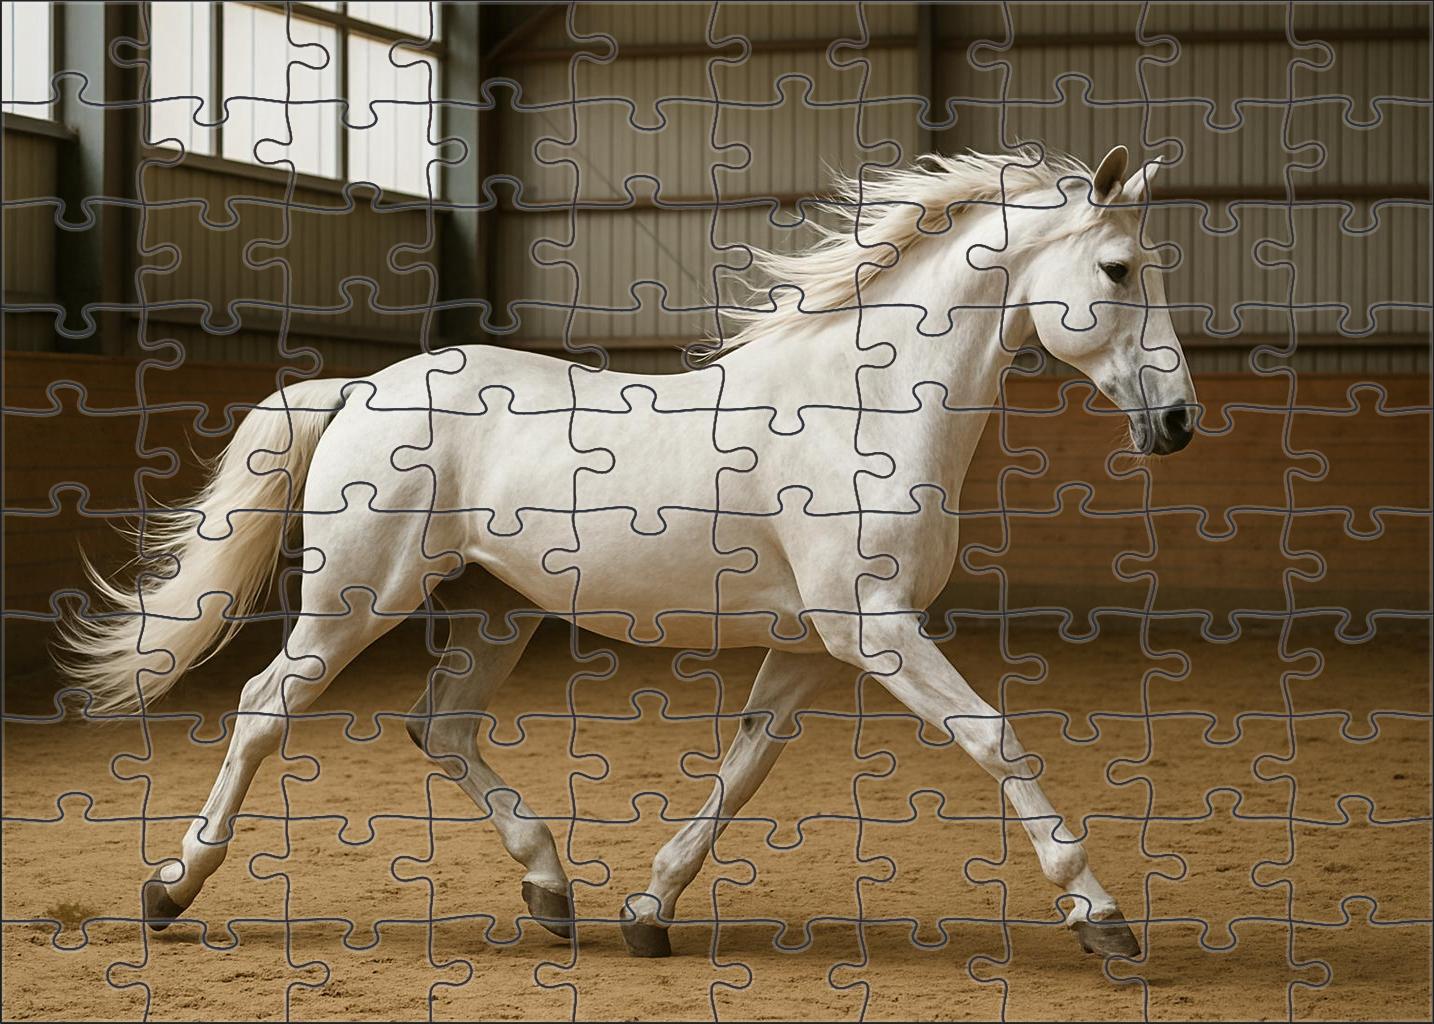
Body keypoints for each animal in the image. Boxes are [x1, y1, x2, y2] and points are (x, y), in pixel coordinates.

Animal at [60, 145, 1196, 960]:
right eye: (1117, 269)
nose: (1179, 422)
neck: (863, 408)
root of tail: (358, 387)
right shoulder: (874, 628)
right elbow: (994, 739)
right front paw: (1102, 918)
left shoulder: (814, 647)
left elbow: (744, 769)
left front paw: (651, 909)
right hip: (359, 596)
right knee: (264, 709)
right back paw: (170, 889)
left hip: (498, 608)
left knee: (442, 727)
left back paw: (552, 889)